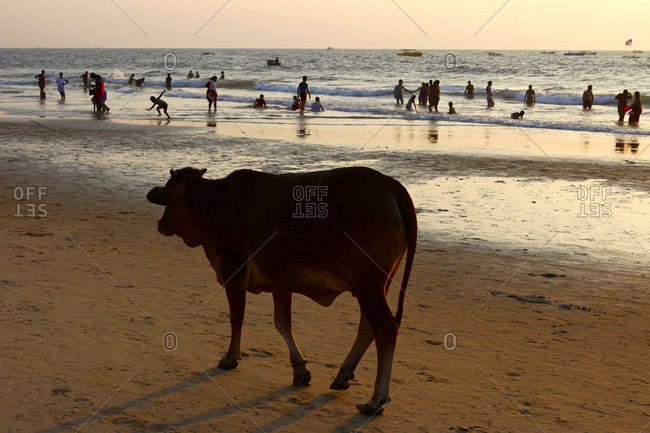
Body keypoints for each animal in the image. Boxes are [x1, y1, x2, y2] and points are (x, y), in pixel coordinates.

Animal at [146, 166, 417, 415]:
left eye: (170, 196)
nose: (160, 224)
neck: (216, 202)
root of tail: (390, 184)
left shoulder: (234, 271)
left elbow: (237, 317)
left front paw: (231, 357)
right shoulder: (280, 282)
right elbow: (283, 323)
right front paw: (300, 370)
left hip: (368, 286)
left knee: (385, 328)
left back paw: (376, 400)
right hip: (375, 286)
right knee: (368, 326)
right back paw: (343, 376)